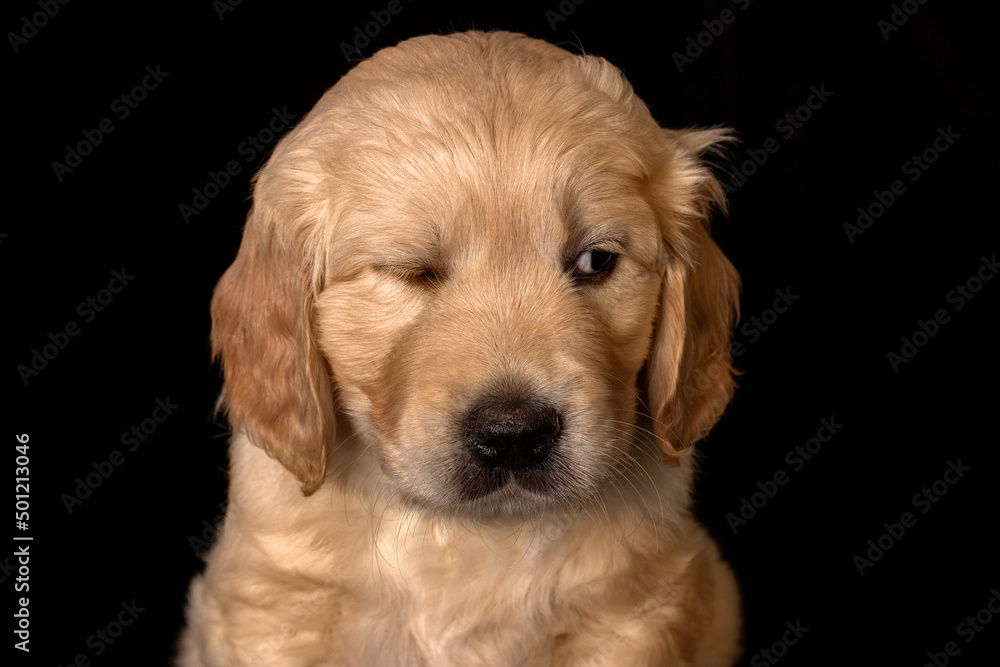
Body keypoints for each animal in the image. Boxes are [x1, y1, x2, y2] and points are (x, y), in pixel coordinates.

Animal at [180, 28, 744, 664]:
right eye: (412, 271)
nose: (515, 434)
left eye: (595, 260)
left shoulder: (631, 614)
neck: (462, 535)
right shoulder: (275, 606)